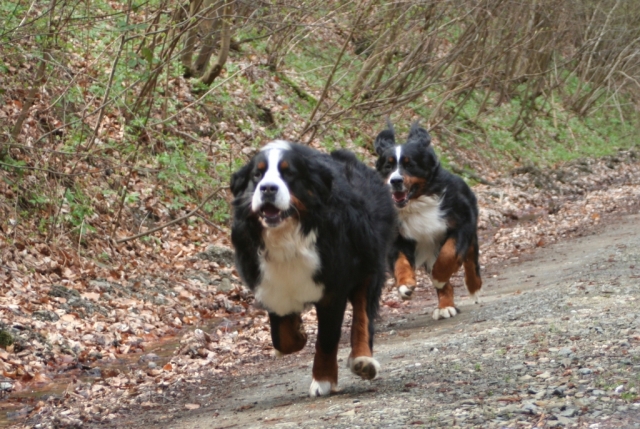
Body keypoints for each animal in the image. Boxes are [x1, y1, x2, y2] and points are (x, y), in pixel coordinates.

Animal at [230, 142, 396, 396]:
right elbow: (283, 339)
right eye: (257, 175)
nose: (267, 188)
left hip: (369, 262)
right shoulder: (271, 286)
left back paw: (362, 360)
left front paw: (323, 380)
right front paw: (297, 332)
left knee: (362, 314)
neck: (288, 237)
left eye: (289, 173)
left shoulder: (333, 289)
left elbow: (327, 338)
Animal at [372, 122, 482, 320]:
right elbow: (400, 262)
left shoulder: (462, 223)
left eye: (410, 165)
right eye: (388, 166)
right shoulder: (398, 237)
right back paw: (445, 306)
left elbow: (449, 253)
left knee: (471, 260)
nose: (395, 180)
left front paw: (439, 277)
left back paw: (473, 288)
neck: (416, 204)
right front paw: (405, 285)